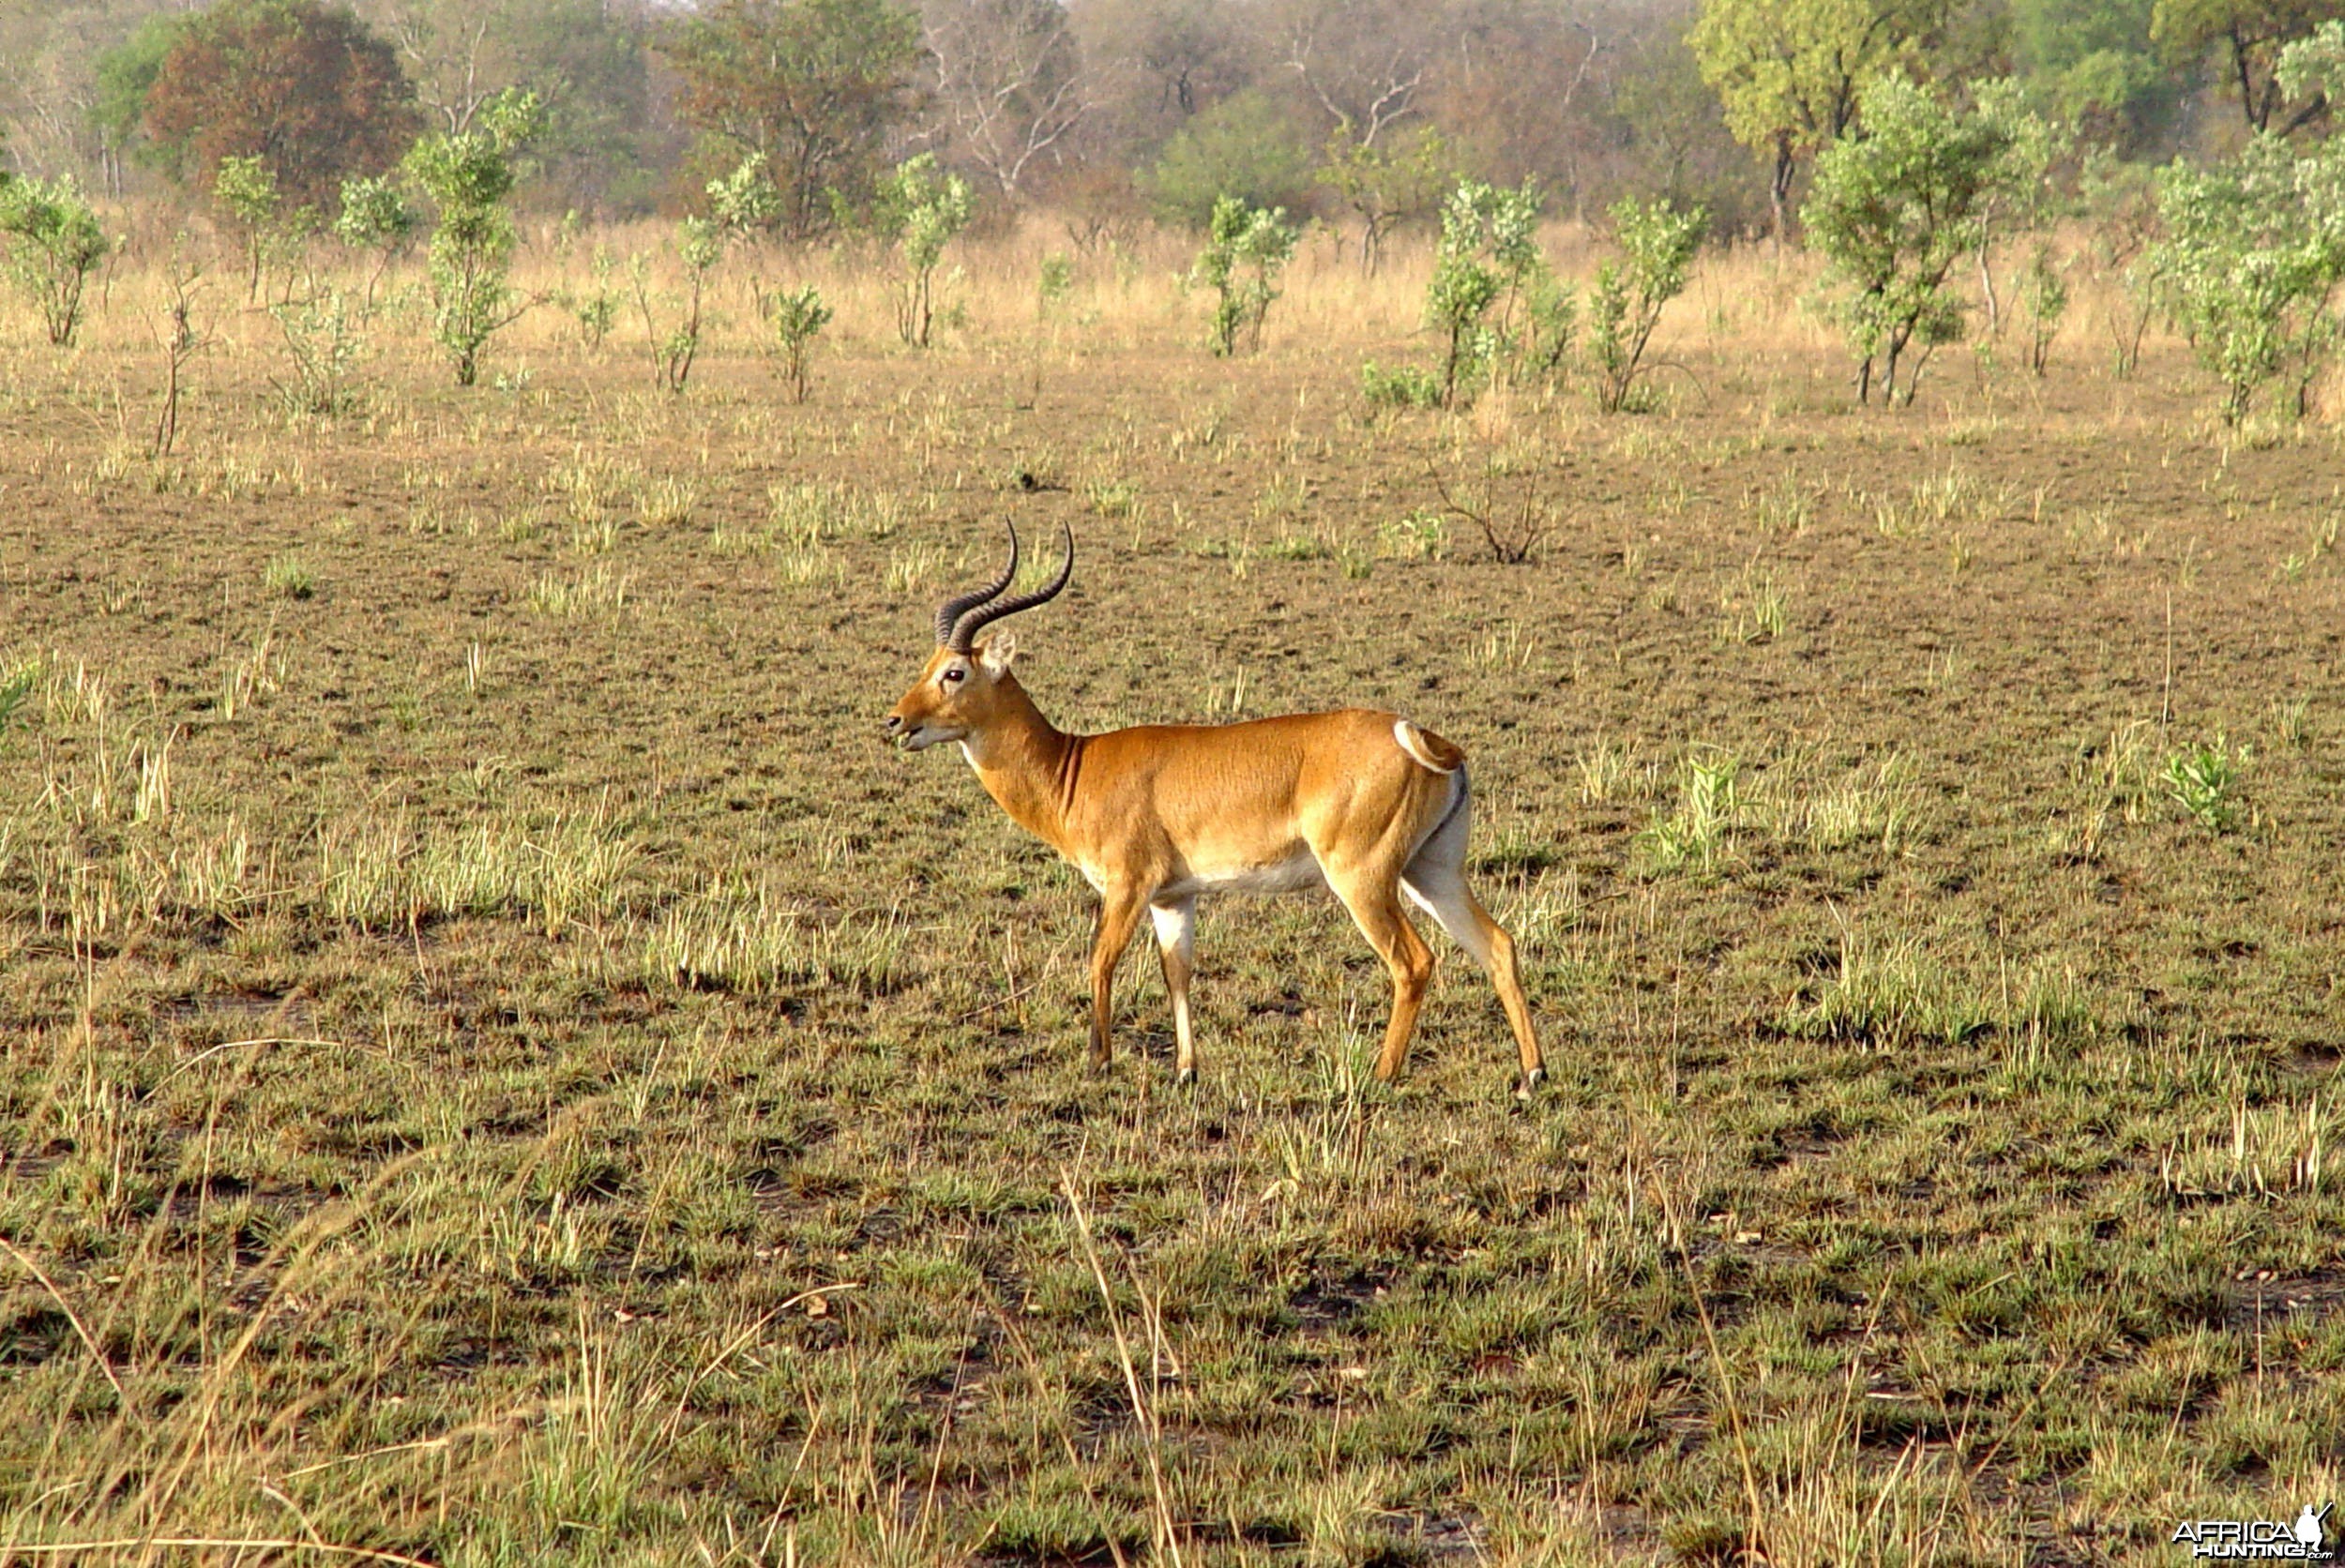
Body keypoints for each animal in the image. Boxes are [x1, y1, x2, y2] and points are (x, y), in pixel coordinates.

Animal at [886, 520, 1548, 1096]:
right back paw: (1530, 1076)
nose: (896, 720)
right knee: (1497, 945)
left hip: (1362, 878)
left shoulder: (1128, 886)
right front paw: (1185, 1071)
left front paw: (1099, 1063)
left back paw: (1379, 1078)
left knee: (1413, 962)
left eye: (955, 672)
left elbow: (1101, 960)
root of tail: (1422, 737)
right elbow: (1177, 972)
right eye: (927, 667)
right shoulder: (1174, 897)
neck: (1075, 767)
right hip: (1431, 871)